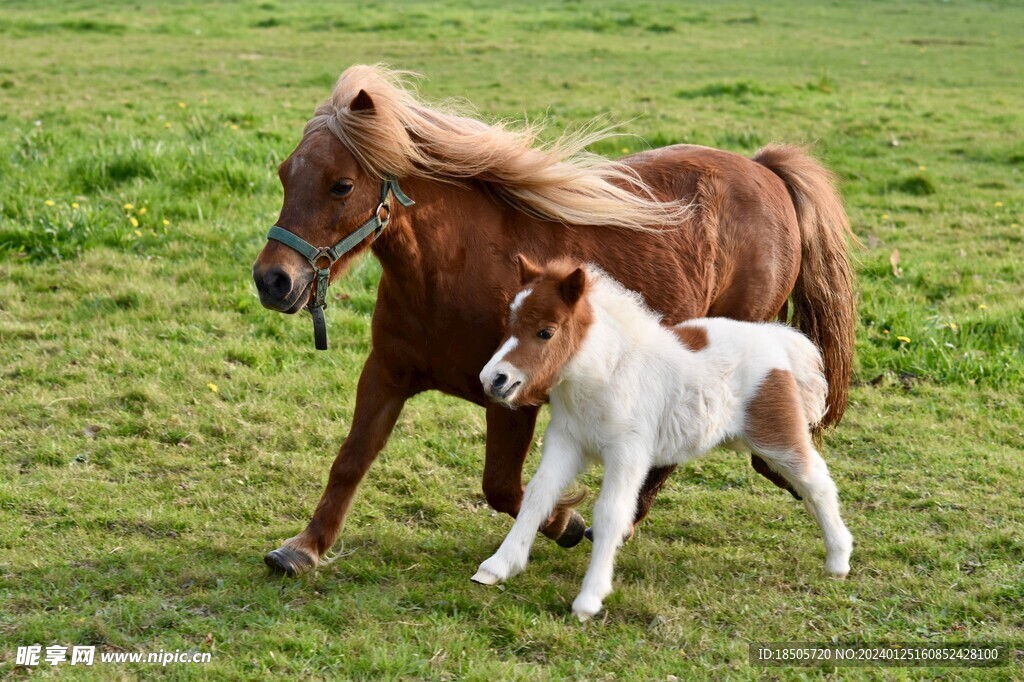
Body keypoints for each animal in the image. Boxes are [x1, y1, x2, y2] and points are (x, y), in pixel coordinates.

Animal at [251, 65, 851, 573]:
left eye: (341, 185)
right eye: (284, 175)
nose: (272, 280)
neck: (451, 269)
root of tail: (765, 171)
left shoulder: (512, 397)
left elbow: (503, 487)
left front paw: (566, 521)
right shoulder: (386, 373)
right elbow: (351, 460)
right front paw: (303, 547)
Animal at [475, 254, 851, 622]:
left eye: (546, 332)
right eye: (510, 324)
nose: (493, 378)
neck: (607, 373)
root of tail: (776, 340)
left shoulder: (628, 454)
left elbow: (611, 513)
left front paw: (589, 600)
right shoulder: (566, 442)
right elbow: (538, 495)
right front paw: (497, 567)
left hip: (777, 436)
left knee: (816, 482)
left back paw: (839, 559)